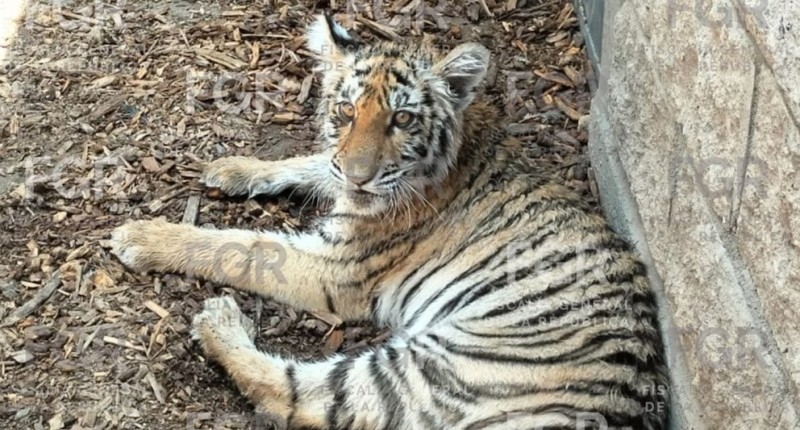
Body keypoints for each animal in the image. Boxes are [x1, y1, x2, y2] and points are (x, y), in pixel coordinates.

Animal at [109, 14, 670, 430]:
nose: (361, 177)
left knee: (299, 395)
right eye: (345, 111)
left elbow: (242, 247)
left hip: (438, 368)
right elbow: (314, 162)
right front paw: (232, 168)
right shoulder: (340, 177)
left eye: (402, 119)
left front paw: (142, 235)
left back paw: (219, 322)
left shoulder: (338, 268)